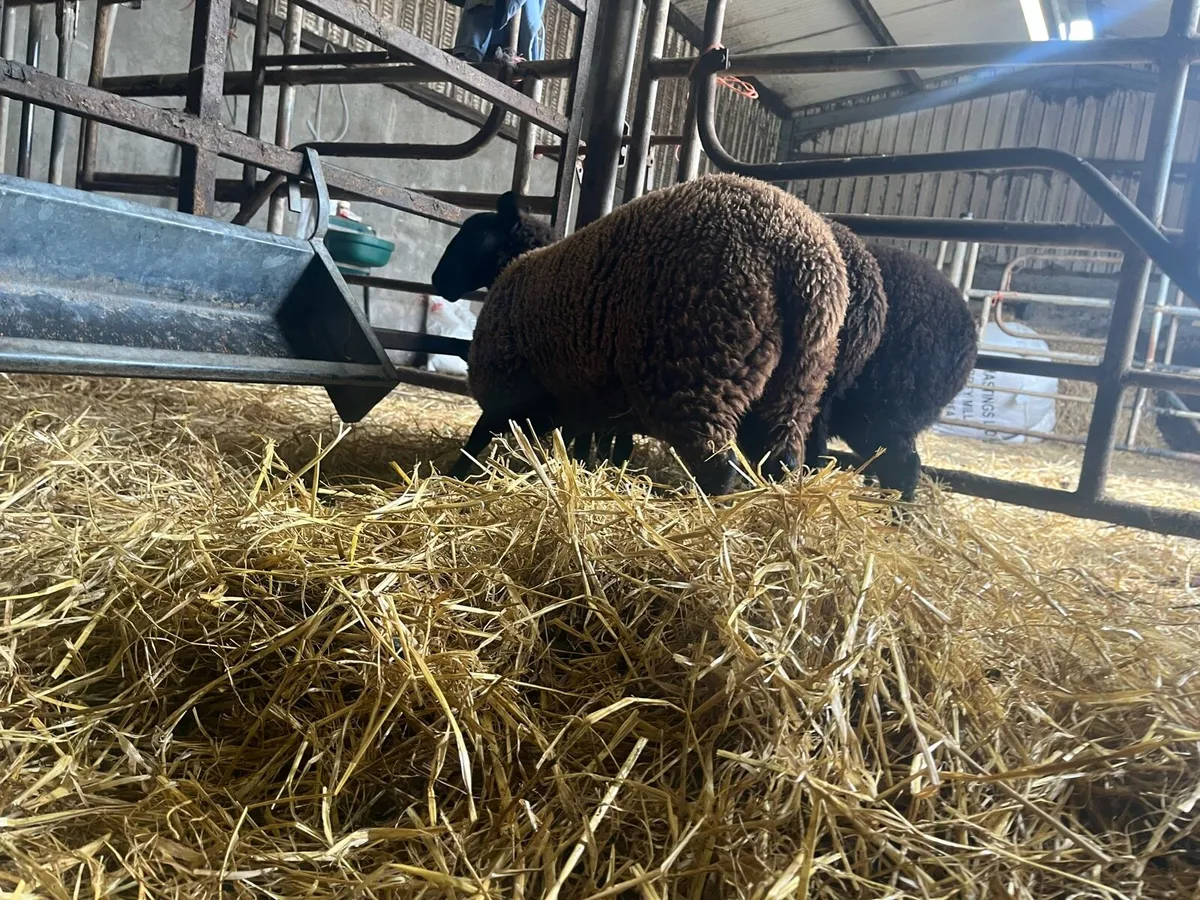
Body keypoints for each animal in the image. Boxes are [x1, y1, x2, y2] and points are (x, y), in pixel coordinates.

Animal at [429, 174, 851, 495]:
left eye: (476, 235)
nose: (437, 280)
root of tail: (798, 254)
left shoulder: (507, 385)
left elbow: (477, 436)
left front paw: (453, 478)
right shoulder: (588, 399)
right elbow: (597, 445)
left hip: (696, 369)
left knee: (719, 464)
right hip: (794, 387)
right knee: (781, 461)